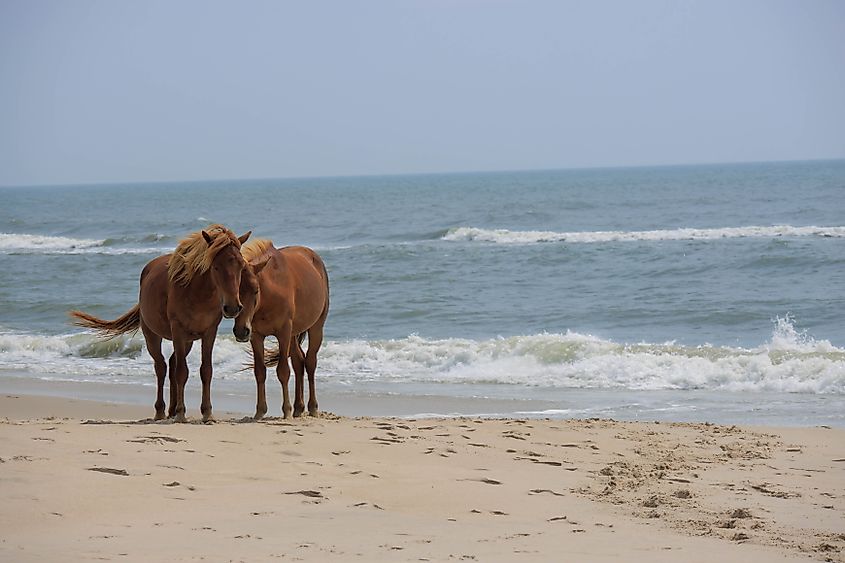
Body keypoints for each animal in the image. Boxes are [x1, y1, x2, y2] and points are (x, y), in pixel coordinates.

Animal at [70, 225, 252, 423]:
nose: (232, 308)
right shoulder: (178, 330)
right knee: (161, 367)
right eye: (216, 266)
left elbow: (206, 371)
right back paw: (161, 411)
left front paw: (207, 413)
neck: (198, 293)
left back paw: (171, 410)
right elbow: (182, 372)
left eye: (241, 266)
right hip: (153, 335)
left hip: (187, 341)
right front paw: (181, 413)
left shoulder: (209, 332)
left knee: (171, 364)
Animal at [234, 240, 330, 420]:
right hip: (293, 334)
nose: (241, 331)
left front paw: (286, 410)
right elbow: (260, 371)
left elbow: (283, 371)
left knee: (310, 362)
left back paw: (312, 407)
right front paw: (260, 411)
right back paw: (299, 408)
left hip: (315, 327)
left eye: (255, 290)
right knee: (299, 362)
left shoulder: (283, 333)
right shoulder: (256, 336)